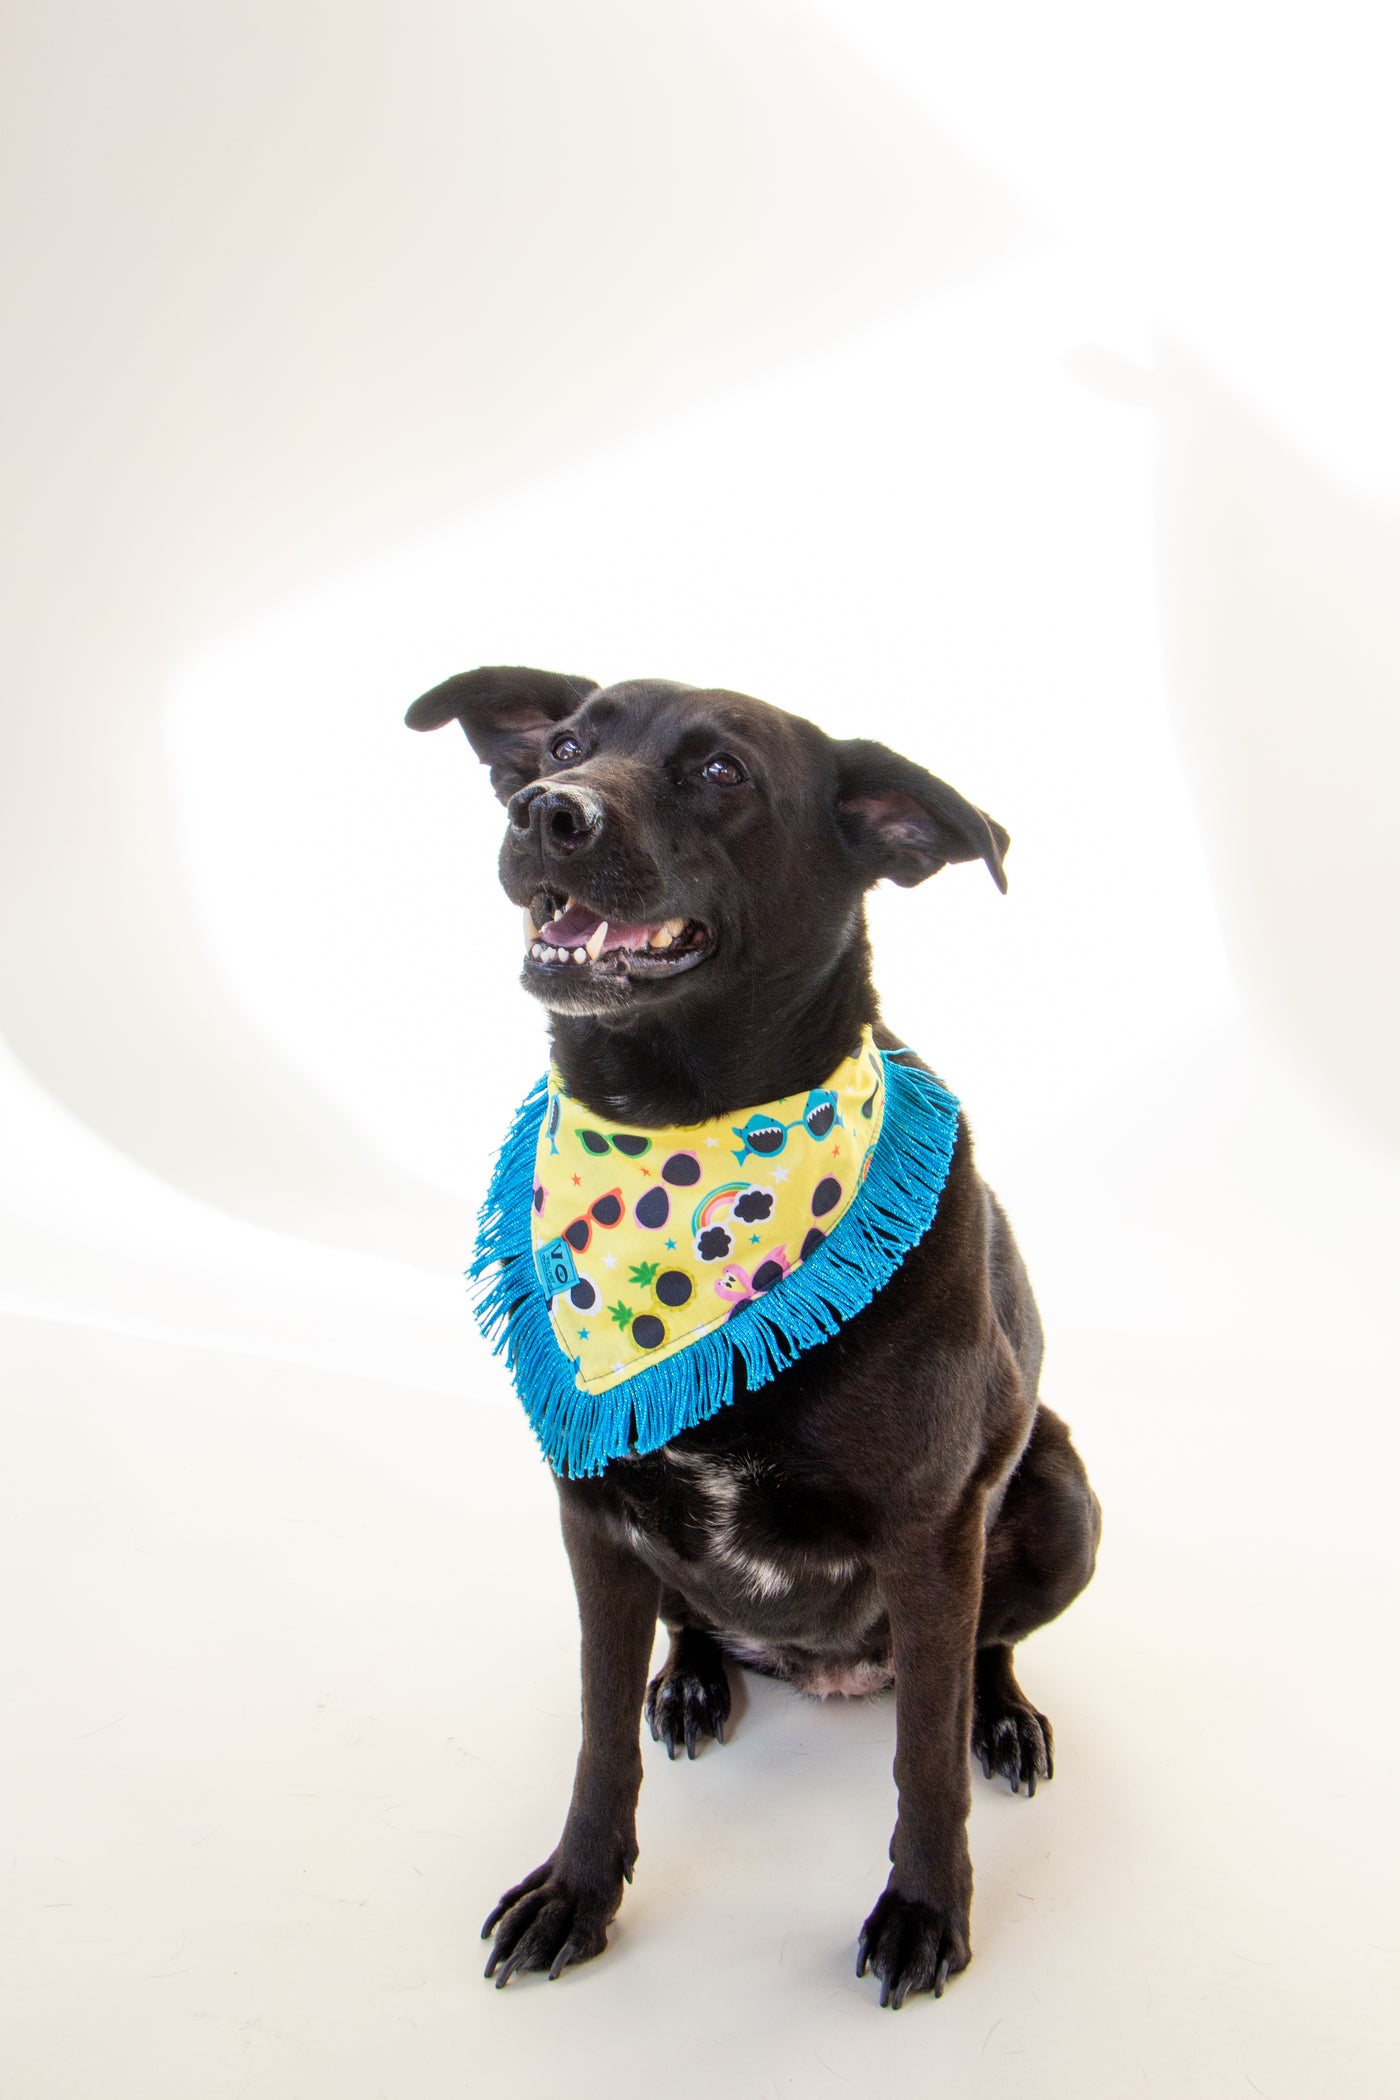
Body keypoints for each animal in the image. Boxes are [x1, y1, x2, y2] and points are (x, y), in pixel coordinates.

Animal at [405, 663, 1108, 2007]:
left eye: (719, 772)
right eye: (563, 745)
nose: (545, 813)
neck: (678, 1136)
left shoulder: (930, 1529)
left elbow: (921, 1763)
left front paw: (924, 1910)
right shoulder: (590, 1512)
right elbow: (596, 1738)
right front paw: (577, 1892)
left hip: (1055, 1494)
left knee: (982, 1652)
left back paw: (999, 1718)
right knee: (688, 1626)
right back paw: (688, 1681)